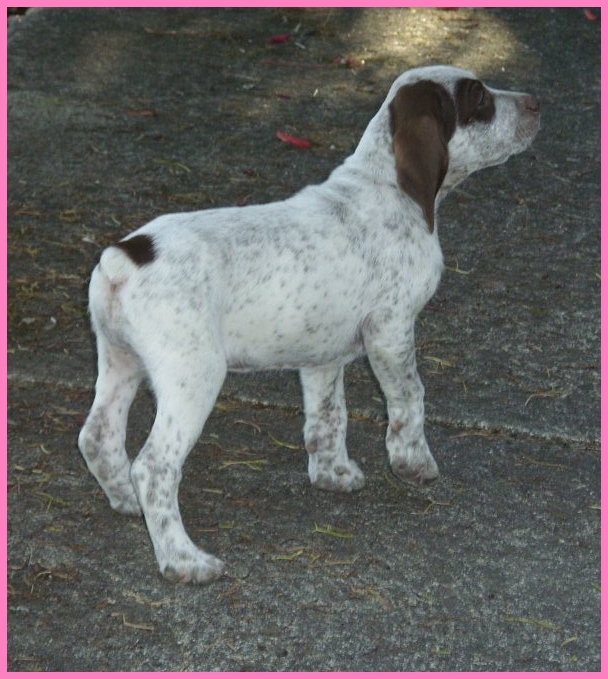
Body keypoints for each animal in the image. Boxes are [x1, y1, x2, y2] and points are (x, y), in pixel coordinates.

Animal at [78, 65, 540, 583]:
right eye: (478, 98)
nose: (536, 103)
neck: (387, 189)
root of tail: (124, 257)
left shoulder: (323, 356)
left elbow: (329, 416)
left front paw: (332, 473)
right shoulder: (391, 330)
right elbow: (410, 399)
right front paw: (413, 463)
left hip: (120, 363)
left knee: (97, 437)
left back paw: (125, 502)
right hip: (193, 376)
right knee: (154, 468)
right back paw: (183, 560)